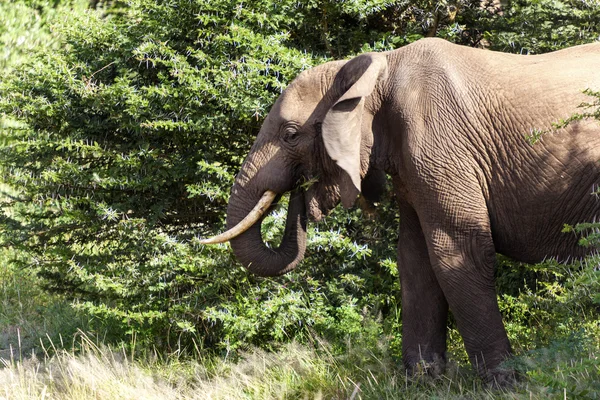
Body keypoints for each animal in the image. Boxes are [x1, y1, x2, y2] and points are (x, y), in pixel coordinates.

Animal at [203, 38, 600, 384]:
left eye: (289, 134)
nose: (303, 191)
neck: (375, 71)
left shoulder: (437, 141)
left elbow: (458, 251)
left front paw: (505, 385)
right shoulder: (412, 162)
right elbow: (414, 258)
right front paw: (421, 382)